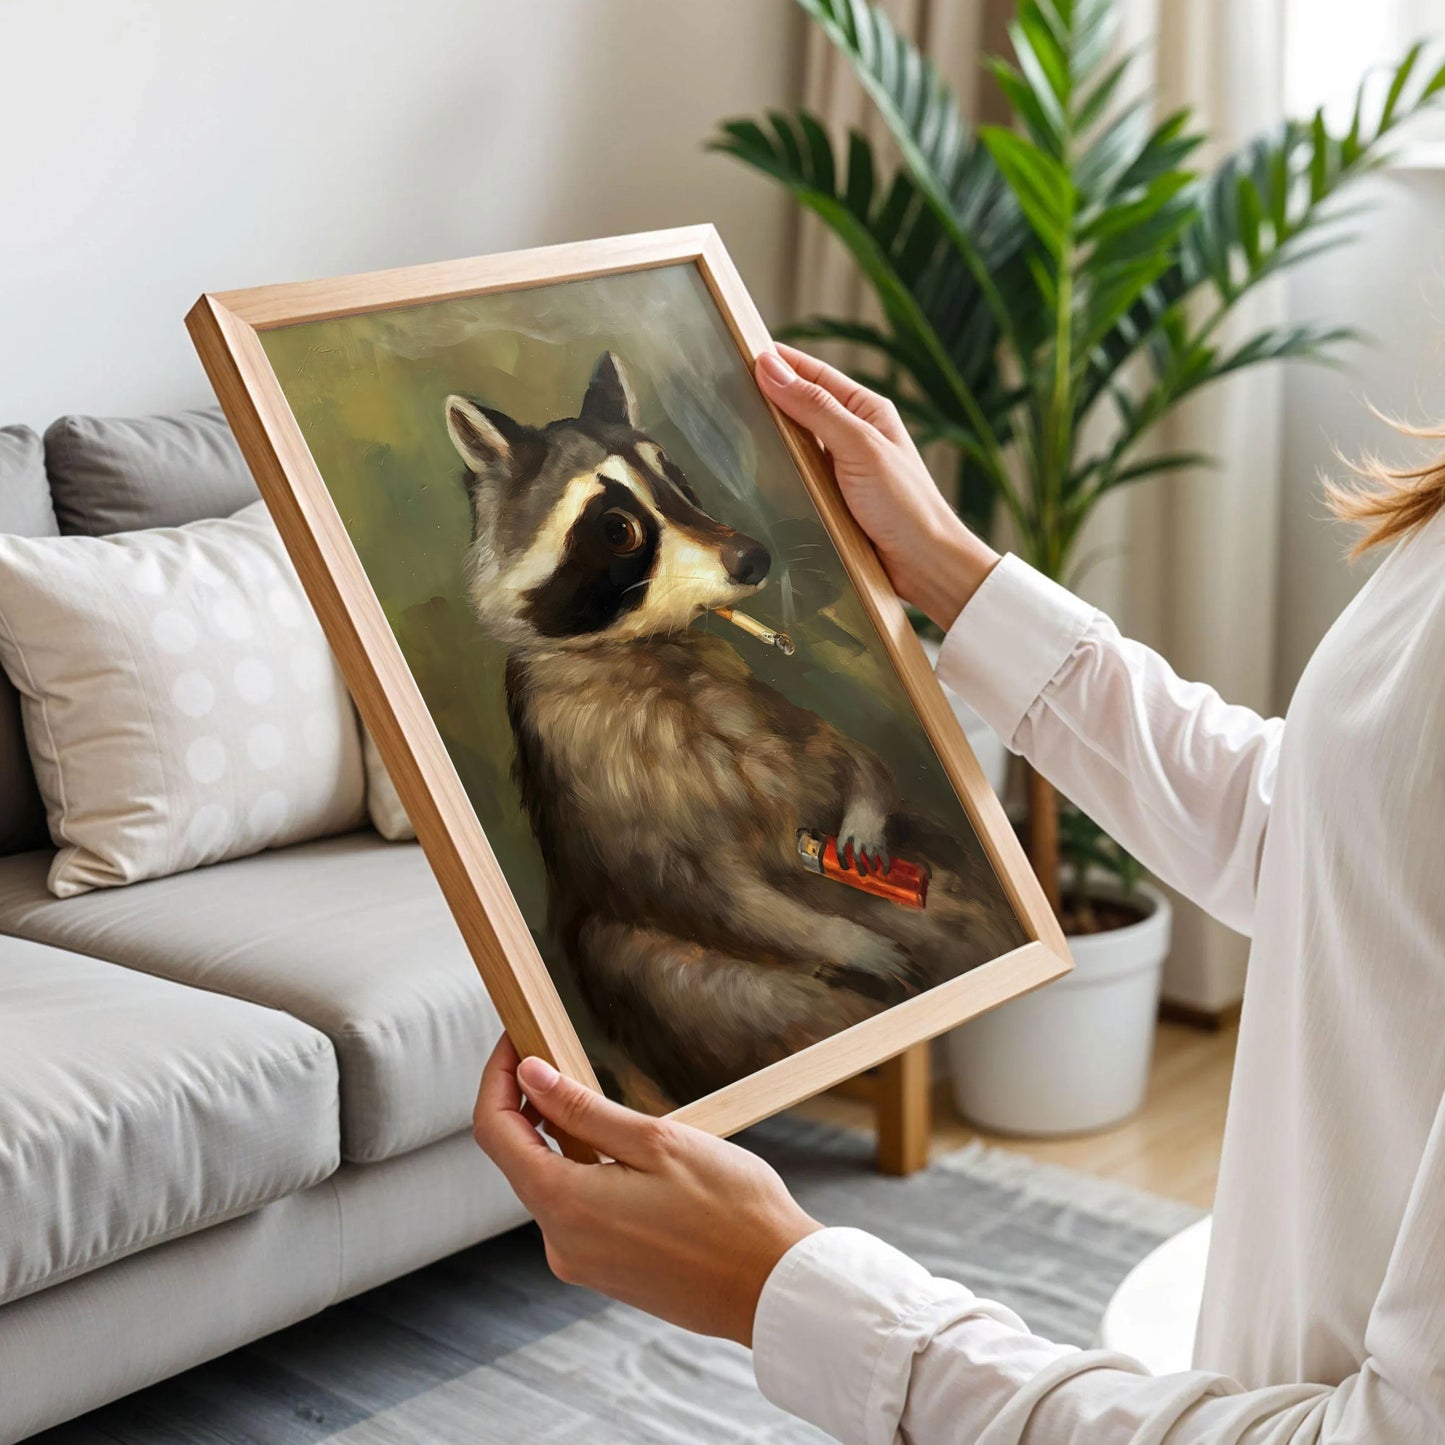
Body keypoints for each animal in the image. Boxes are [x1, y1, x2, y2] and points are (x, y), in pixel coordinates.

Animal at [446, 351, 1023, 1108]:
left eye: (679, 480)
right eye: (618, 528)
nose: (753, 559)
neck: (649, 649)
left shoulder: (750, 698)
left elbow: (839, 755)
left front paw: (863, 808)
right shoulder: (585, 761)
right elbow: (699, 891)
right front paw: (841, 937)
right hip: (701, 992)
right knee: (690, 975)